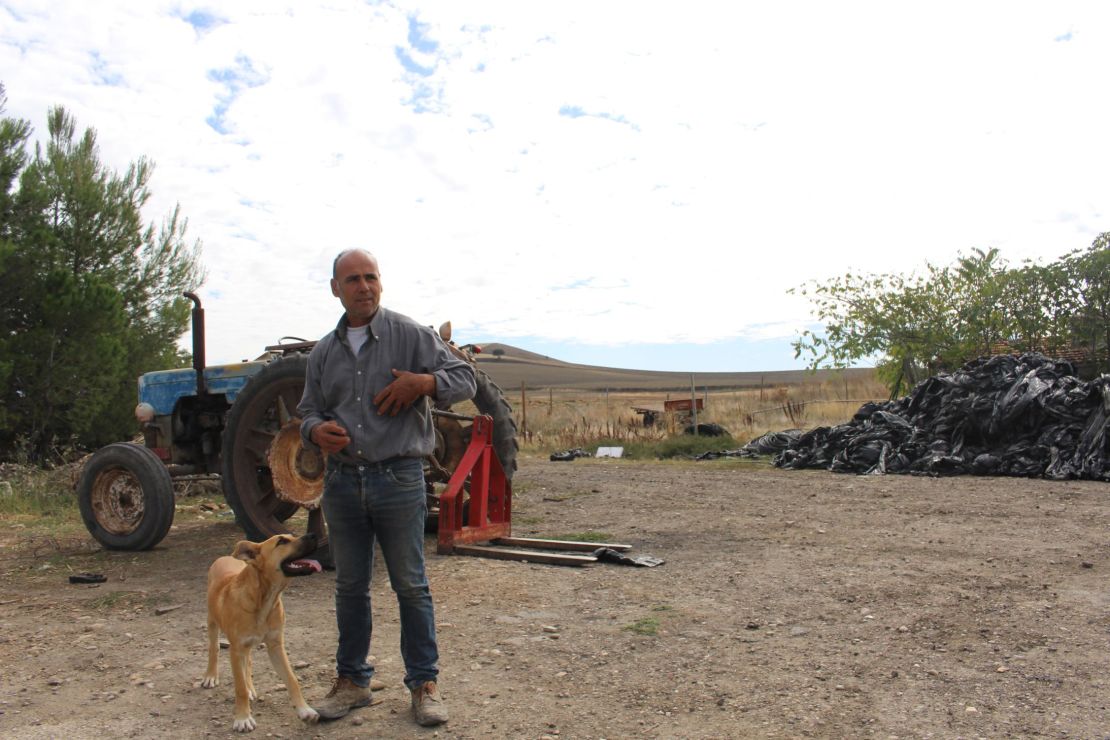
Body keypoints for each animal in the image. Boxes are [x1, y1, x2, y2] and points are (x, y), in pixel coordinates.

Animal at [203, 532, 321, 736]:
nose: (314, 534)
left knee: (248, 662)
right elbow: (239, 688)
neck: (264, 599)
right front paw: (242, 718)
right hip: (212, 623)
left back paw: (250, 687)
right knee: (214, 649)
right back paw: (211, 675)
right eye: (282, 541)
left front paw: (304, 710)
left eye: (291, 535)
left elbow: (292, 679)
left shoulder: (275, 646)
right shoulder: (236, 650)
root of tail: (225, 557)